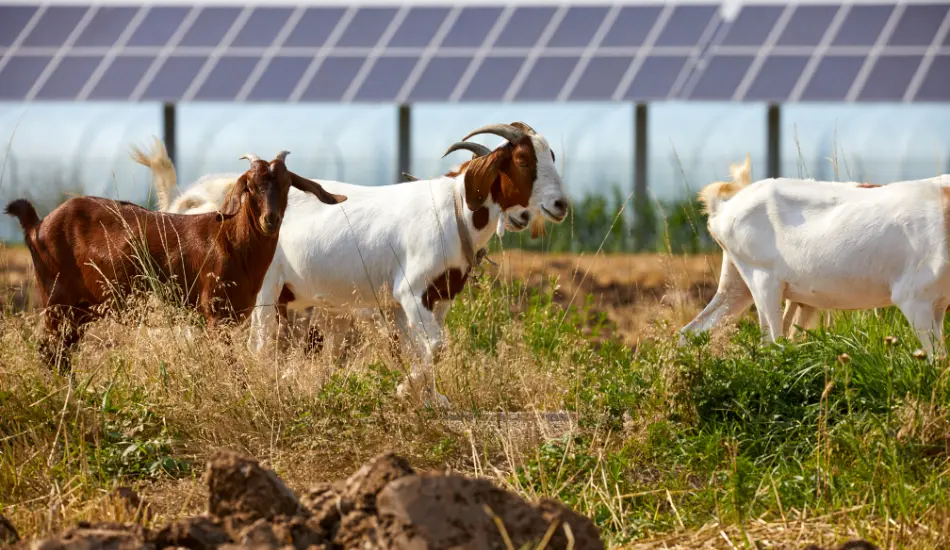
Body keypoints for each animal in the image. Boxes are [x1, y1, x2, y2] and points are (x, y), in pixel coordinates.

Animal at [5, 153, 348, 374]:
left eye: (288, 184)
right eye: (249, 186)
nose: (270, 219)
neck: (230, 241)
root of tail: (37, 225)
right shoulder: (214, 313)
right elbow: (227, 367)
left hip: (80, 309)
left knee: (62, 353)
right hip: (55, 299)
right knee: (49, 351)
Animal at [130, 125, 568, 410]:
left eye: (550, 156)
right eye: (523, 160)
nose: (560, 205)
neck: (454, 208)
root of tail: (201, 200)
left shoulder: (432, 299)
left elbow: (422, 348)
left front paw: (431, 399)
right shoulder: (411, 292)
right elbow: (434, 347)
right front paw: (405, 392)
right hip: (262, 291)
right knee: (259, 344)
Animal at [692, 169, 950, 358]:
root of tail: (722, 210)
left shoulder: (939, 304)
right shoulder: (915, 300)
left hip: (736, 288)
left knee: (693, 331)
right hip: (763, 282)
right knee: (772, 343)